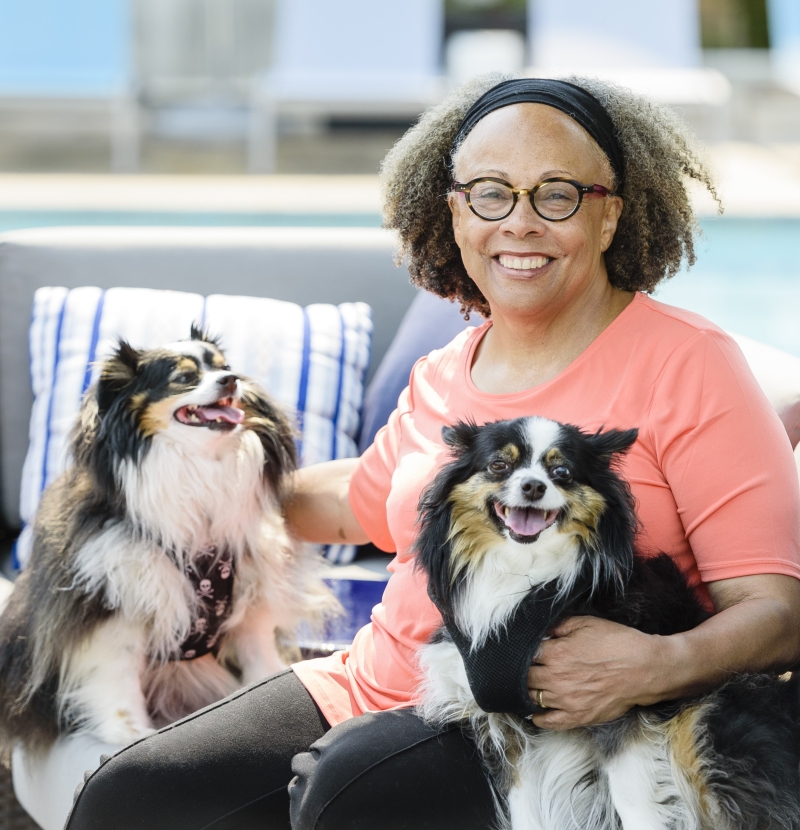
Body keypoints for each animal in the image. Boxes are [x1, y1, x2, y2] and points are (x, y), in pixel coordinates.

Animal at [0, 328, 338, 756]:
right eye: (185, 378)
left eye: (224, 366)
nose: (232, 380)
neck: (198, 466)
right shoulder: (112, 601)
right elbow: (117, 672)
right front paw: (129, 733)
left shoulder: (251, 592)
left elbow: (257, 650)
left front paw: (269, 680)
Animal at [416, 420, 796, 830]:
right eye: (499, 465)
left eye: (562, 472)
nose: (533, 486)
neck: (524, 572)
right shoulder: (507, 731)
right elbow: (525, 810)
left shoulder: (621, 702)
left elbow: (634, 803)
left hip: (703, 719)